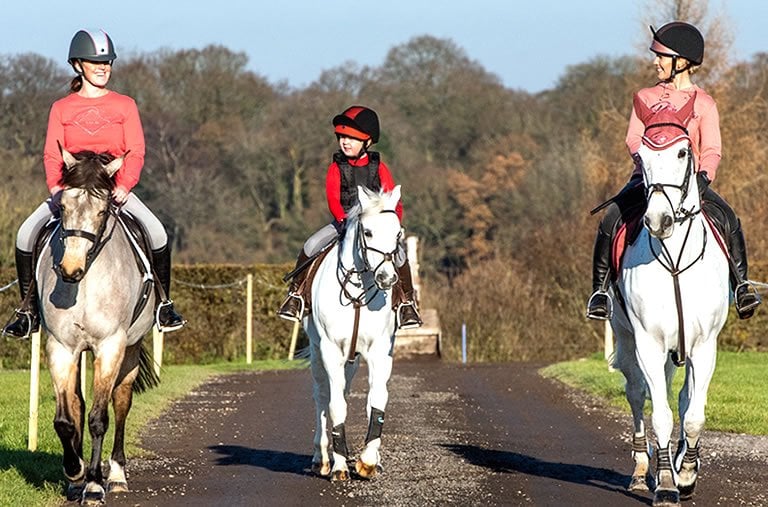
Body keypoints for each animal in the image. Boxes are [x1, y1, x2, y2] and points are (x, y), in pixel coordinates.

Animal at [39, 147, 160, 504]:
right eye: (63, 206)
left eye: (103, 209)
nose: (70, 269)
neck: (86, 282)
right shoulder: (61, 347)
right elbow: (66, 419)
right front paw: (75, 472)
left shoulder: (110, 347)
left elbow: (98, 418)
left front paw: (94, 484)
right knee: (77, 404)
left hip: (130, 350)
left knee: (121, 402)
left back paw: (116, 475)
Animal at [304, 185, 404, 482]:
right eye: (367, 232)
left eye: (398, 233)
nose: (387, 278)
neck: (358, 292)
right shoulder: (330, 350)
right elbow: (335, 405)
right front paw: (338, 466)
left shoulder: (380, 351)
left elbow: (376, 401)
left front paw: (368, 461)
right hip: (318, 354)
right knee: (322, 396)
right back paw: (321, 458)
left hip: (352, 359)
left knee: (346, 393)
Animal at [608, 97, 728, 506]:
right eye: (641, 156)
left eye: (681, 151)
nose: (659, 220)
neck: (675, 257)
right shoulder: (648, 342)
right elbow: (660, 414)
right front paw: (664, 483)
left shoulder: (704, 345)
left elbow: (692, 413)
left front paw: (687, 473)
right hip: (628, 339)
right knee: (637, 394)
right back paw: (641, 471)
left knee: (681, 397)